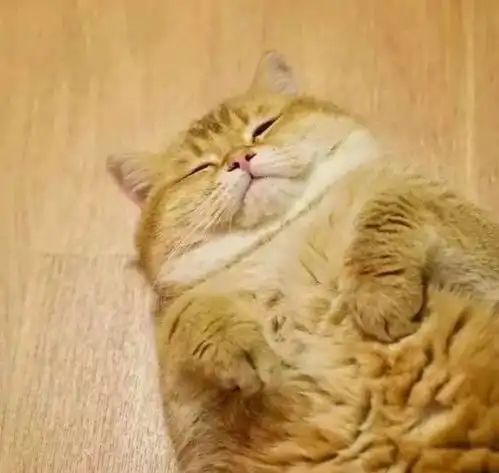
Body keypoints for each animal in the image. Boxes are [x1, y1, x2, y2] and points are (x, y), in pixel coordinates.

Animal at [109, 52, 499, 471]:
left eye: (263, 126)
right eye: (199, 168)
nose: (240, 159)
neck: (285, 232)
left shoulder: (474, 242)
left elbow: (391, 202)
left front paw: (378, 295)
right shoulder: (189, 403)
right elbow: (187, 314)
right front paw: (238, 346)